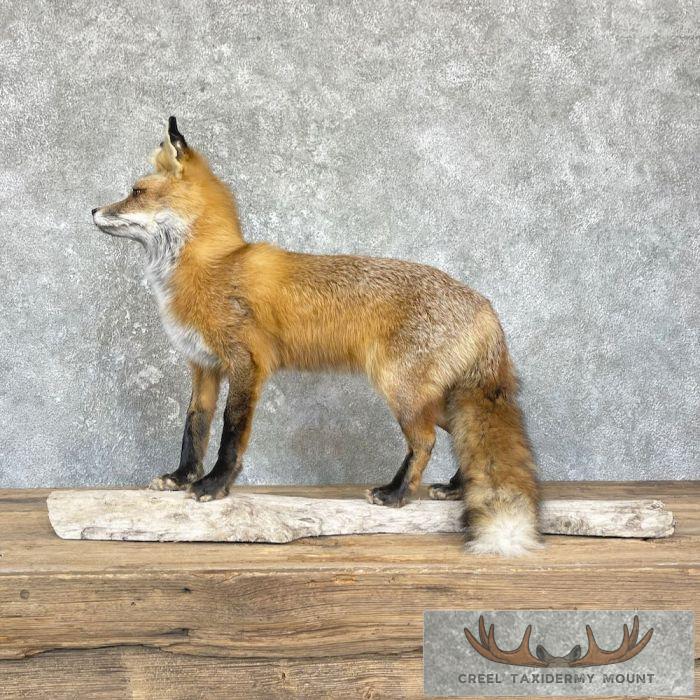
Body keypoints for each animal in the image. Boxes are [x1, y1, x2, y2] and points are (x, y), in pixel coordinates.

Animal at [92, 117, 540, 556]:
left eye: (135, 192)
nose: (92, 209)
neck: (212, 266)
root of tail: (485, 305)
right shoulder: (204, 366)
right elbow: (194, 427)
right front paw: (182, 476)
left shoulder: (246, 364)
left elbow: (230, 433)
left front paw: (215, 485)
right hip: (433, 398)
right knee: (464, 437)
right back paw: (456, 487)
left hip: (401, 390)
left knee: (425, 441)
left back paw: (396, 494)